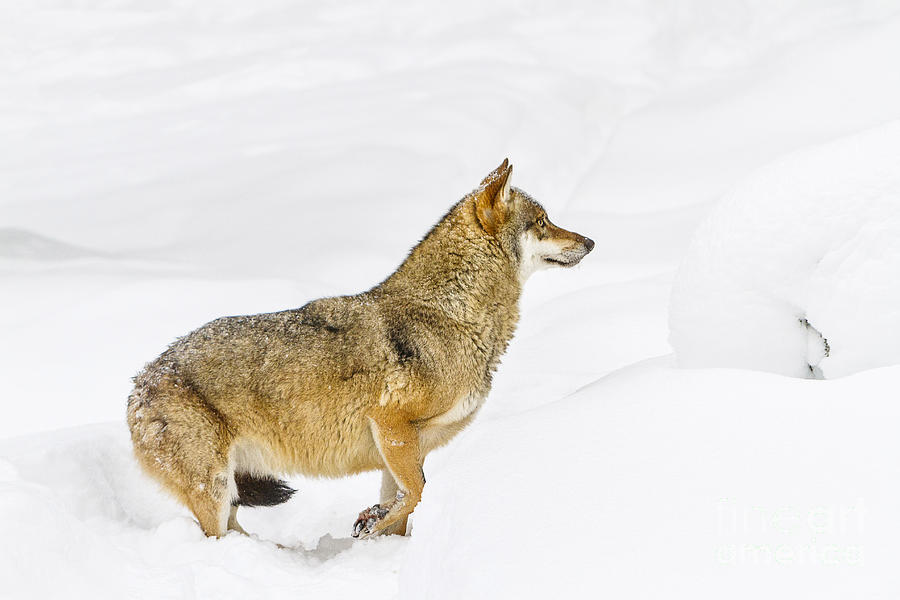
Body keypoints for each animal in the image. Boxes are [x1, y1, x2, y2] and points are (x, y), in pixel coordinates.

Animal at [125, 159, 592, 540]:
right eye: (544, 222)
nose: (590, 242)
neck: (452, 314)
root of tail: (140, 380)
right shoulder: (391, 424)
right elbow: (417, 493)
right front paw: (371, 521)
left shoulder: (404, 446)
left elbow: (406, 502)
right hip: (216, 488)